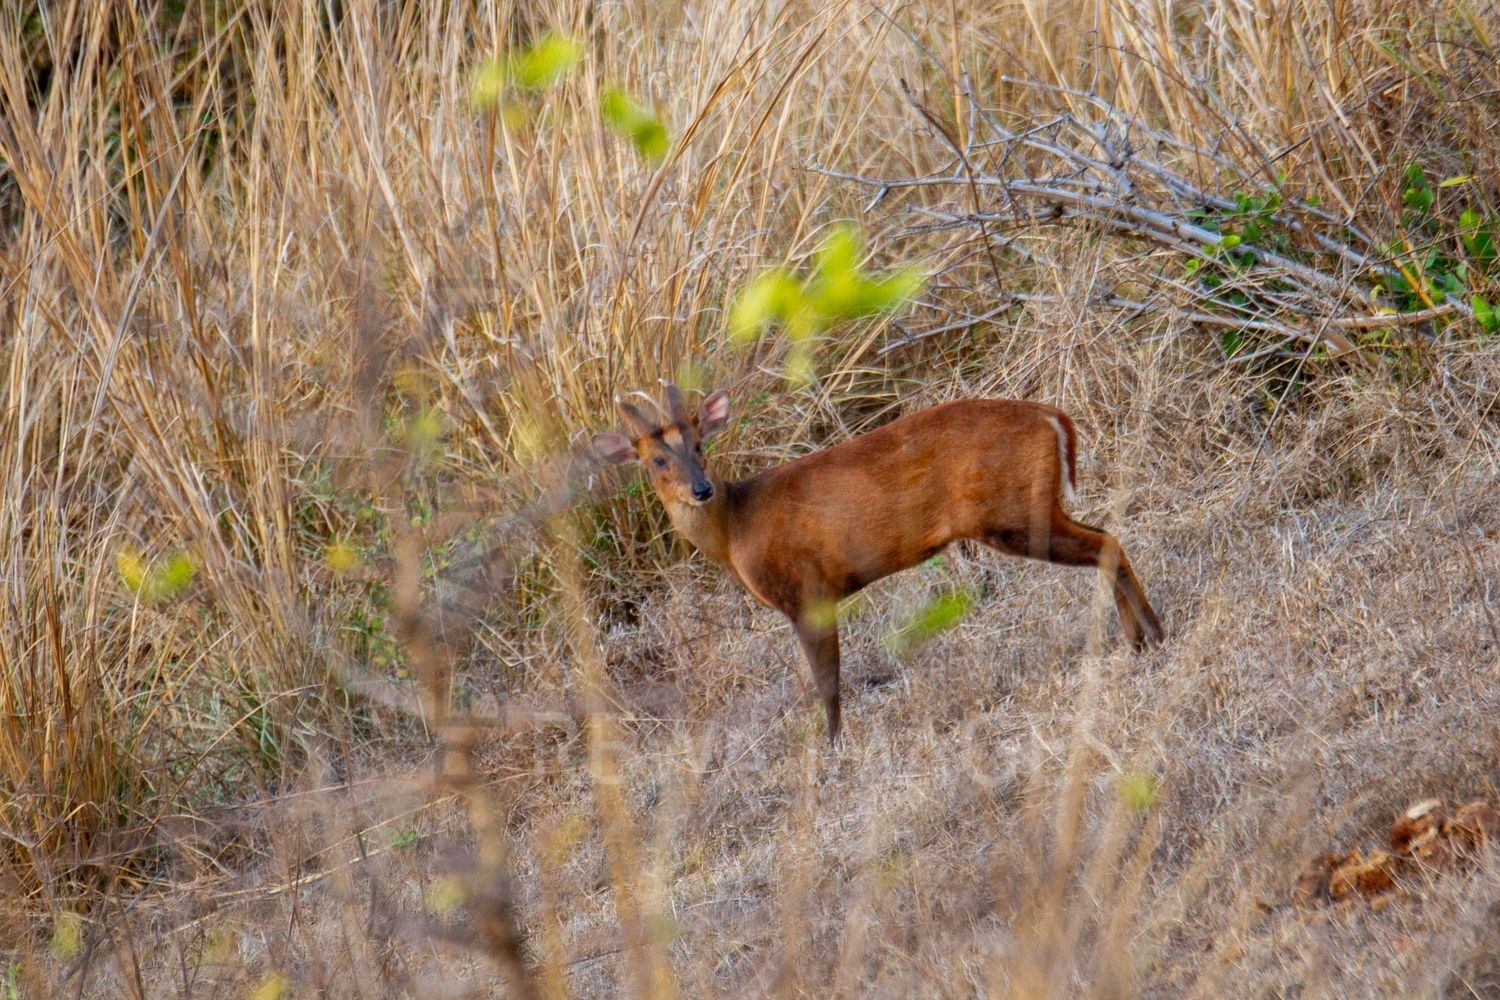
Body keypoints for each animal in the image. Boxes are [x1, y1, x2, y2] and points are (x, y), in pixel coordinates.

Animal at [592, 382, 1164, 744]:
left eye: (699, 444)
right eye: (656, 459)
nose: (701, 488)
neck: (737, 528)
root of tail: (1053, 418)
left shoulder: (807, 589)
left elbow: (828, 680)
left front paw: (833, 748)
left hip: (1012, 513)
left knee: (1107, 543)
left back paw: (1152, 636)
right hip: (1030, 510)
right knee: (1107, 537)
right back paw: (1138, 640)